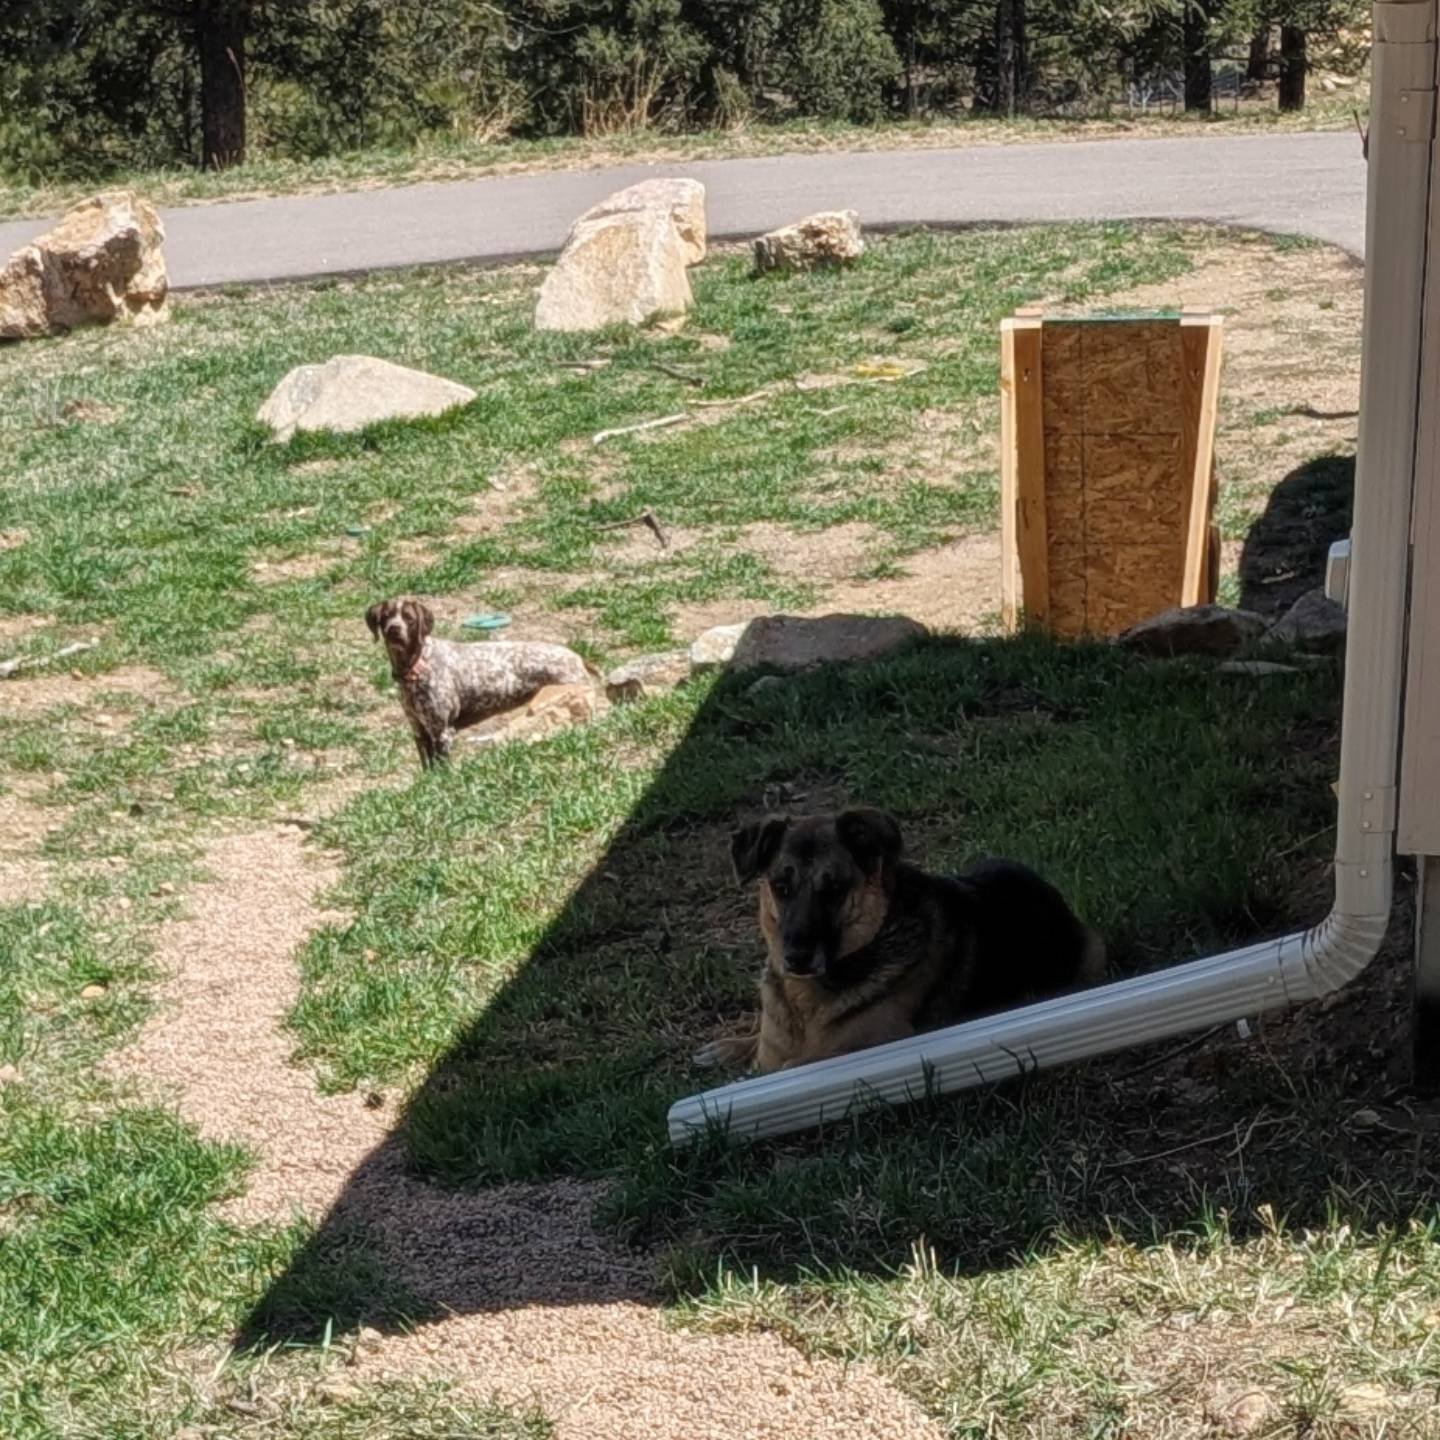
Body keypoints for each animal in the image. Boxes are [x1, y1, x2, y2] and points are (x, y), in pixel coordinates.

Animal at [371, 596, 601, 771]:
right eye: (386, 617)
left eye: (409, 618)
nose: (394, 629)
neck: (416, 665)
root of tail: (577, 658)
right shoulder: (419, 731)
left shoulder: (442, 732)